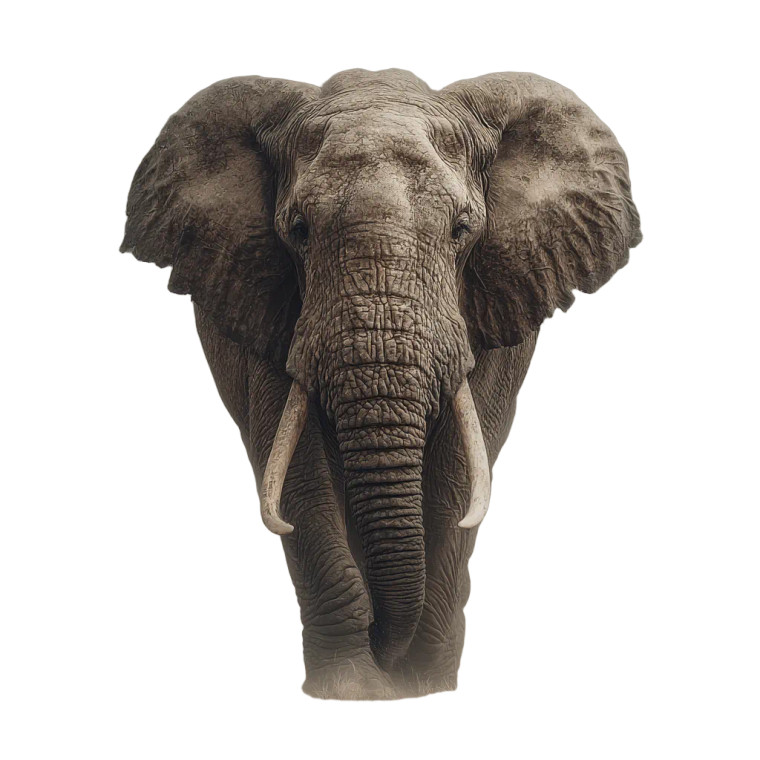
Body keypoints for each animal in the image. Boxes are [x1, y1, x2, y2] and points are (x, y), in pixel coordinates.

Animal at [120, 68, 641, 700]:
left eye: (462, 230)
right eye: (298, 231)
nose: (392, 669)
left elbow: (461, 471)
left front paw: (427, 686)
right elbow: (295, 468)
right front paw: (352, 691)